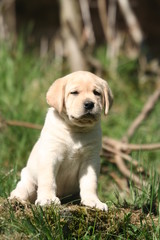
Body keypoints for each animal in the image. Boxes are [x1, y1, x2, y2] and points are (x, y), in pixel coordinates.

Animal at [9, 70, 112, 211]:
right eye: (74, 92)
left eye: (97, 93)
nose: (89, 104)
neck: (75, 130)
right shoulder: (50, 155)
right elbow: (48, 180)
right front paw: (48, 199)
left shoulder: (91, 159)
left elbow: (90, 182)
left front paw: (93, 201)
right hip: (28, 182)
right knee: (18, 192)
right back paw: (17, 201)